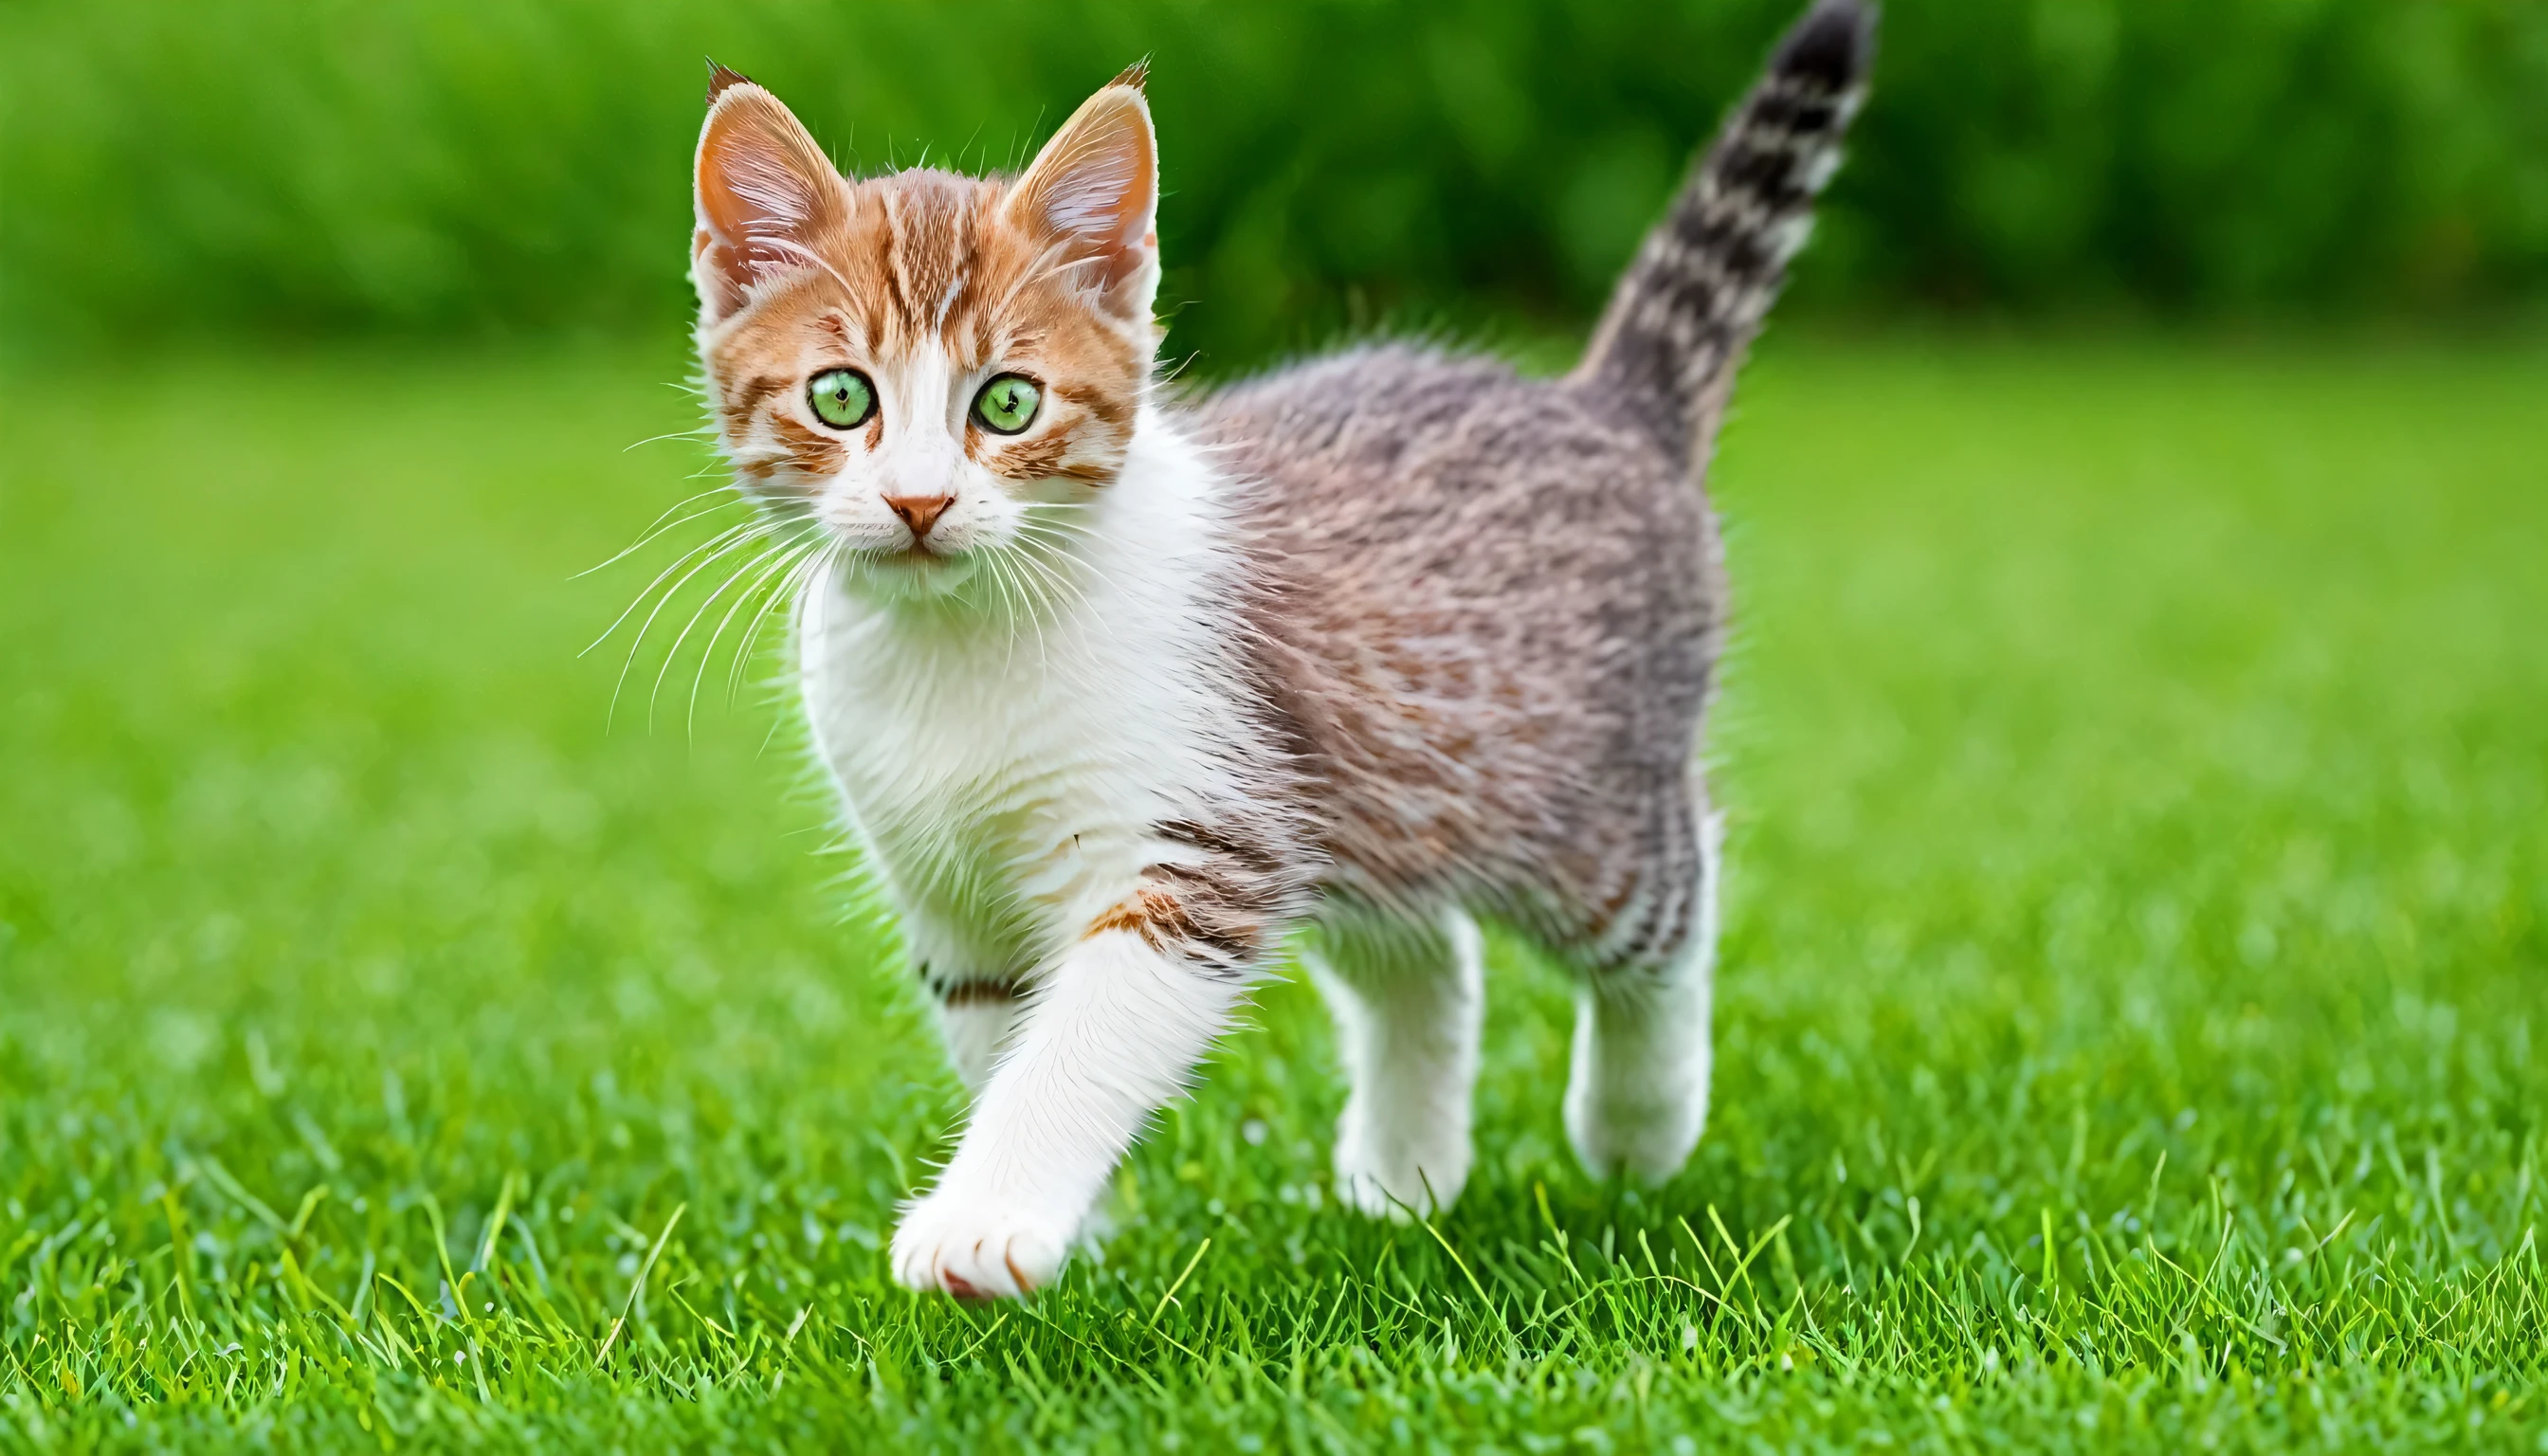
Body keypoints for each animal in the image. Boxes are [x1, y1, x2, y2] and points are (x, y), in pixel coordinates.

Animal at [687, 0, 1885, 1300]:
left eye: (1006, 403)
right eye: (841, 396)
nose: (918, 502)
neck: (957, 646)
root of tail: (1607, 406)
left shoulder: (1198, 840)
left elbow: (1081, 1039)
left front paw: (986, 1222)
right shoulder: (947, 888)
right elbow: (1001, 1031)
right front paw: (1078, 1236)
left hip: (1570, 799)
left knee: (1674, 891)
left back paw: (1636, 1126)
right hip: (1380, 784)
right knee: (1429, 954)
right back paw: (1405, 1176)